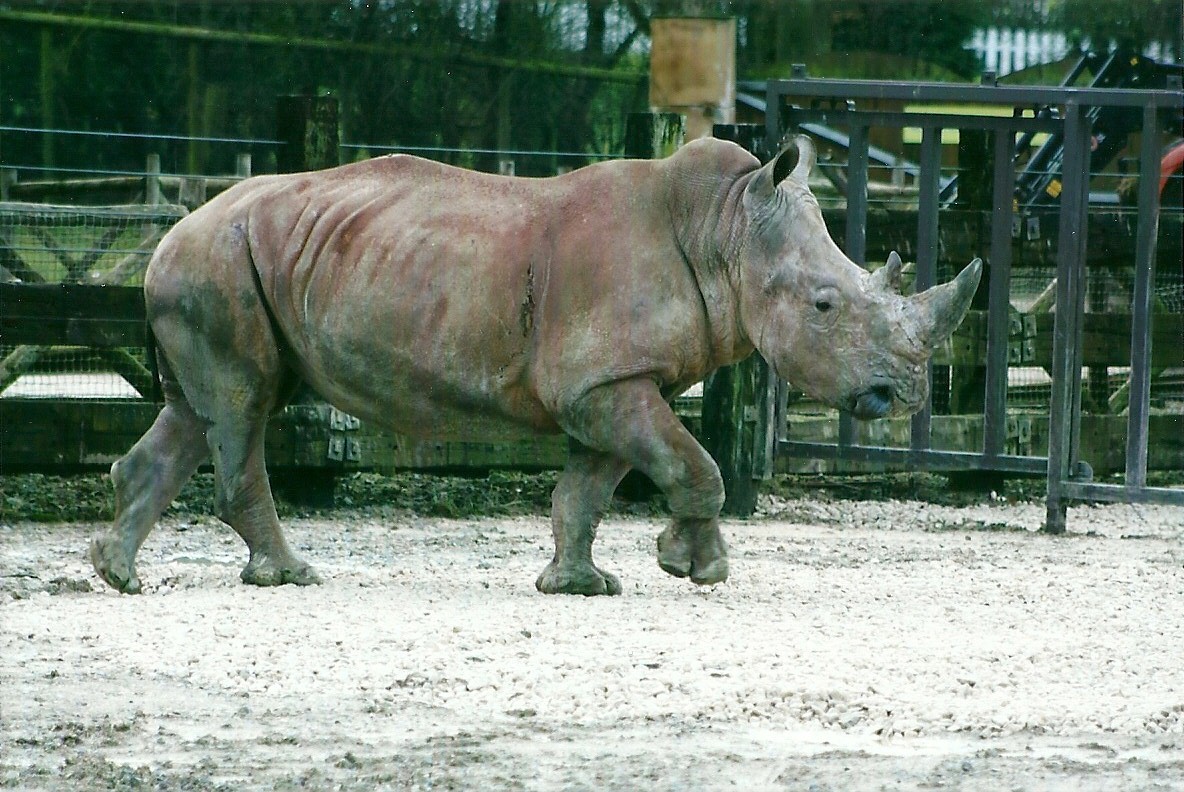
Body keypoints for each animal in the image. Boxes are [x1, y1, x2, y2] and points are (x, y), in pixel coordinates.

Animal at [90, 134, 981, 596]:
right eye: (826, 305)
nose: (905, 390)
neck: (727, 229)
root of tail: (168, 233)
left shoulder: (612, 381)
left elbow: (587, 488)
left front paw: (580, 585)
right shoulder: (605, 382)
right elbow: (697, 466)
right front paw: (695, 568)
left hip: (232, 264)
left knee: (201, 412)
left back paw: (117, 575)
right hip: (218, 262)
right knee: (242, 408)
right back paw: (289, 576)